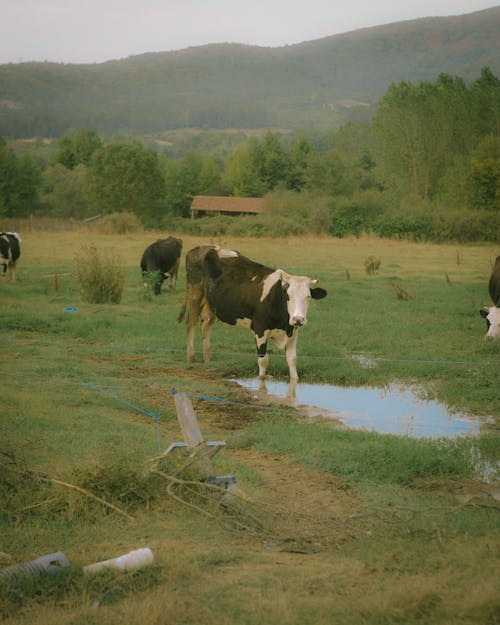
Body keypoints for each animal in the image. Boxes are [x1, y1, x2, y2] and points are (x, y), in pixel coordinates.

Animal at [177, 244, 328, 380]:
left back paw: (207, 359)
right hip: (195, 292)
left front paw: (294, 380)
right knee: (191, 323)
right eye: (288, 296)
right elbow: (263, 360)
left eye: (308, 296)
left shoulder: (293, 332)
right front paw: (261, 381)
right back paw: (191, 357)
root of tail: (203, 247)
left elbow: (292, 360)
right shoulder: (259, 329)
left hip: (211, 304)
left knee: (206, 325)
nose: (298, 319)